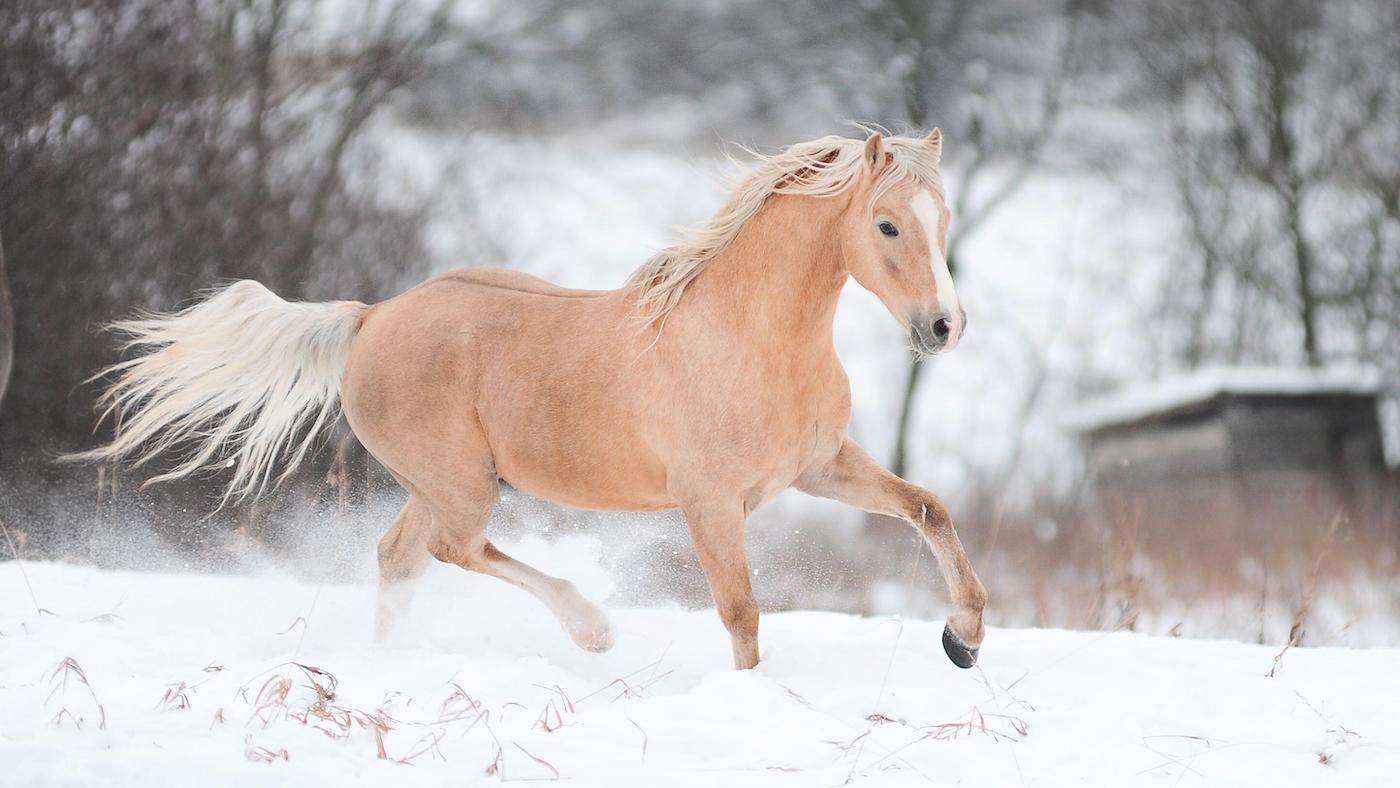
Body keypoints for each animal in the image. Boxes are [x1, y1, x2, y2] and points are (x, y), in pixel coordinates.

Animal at [71, 129, 987, 670]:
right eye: (887, 225)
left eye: (943, 220)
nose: (945, 327)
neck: (749, 338)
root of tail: (371, 317)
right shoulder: (711, 503)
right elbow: (742, 613)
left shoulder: (821, 468)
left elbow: (930, 509)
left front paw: (965, 638)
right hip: (463, 484)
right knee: (453, 550)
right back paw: (590, 628)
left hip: (437, 485)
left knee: (401, 557)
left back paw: (389, 666)